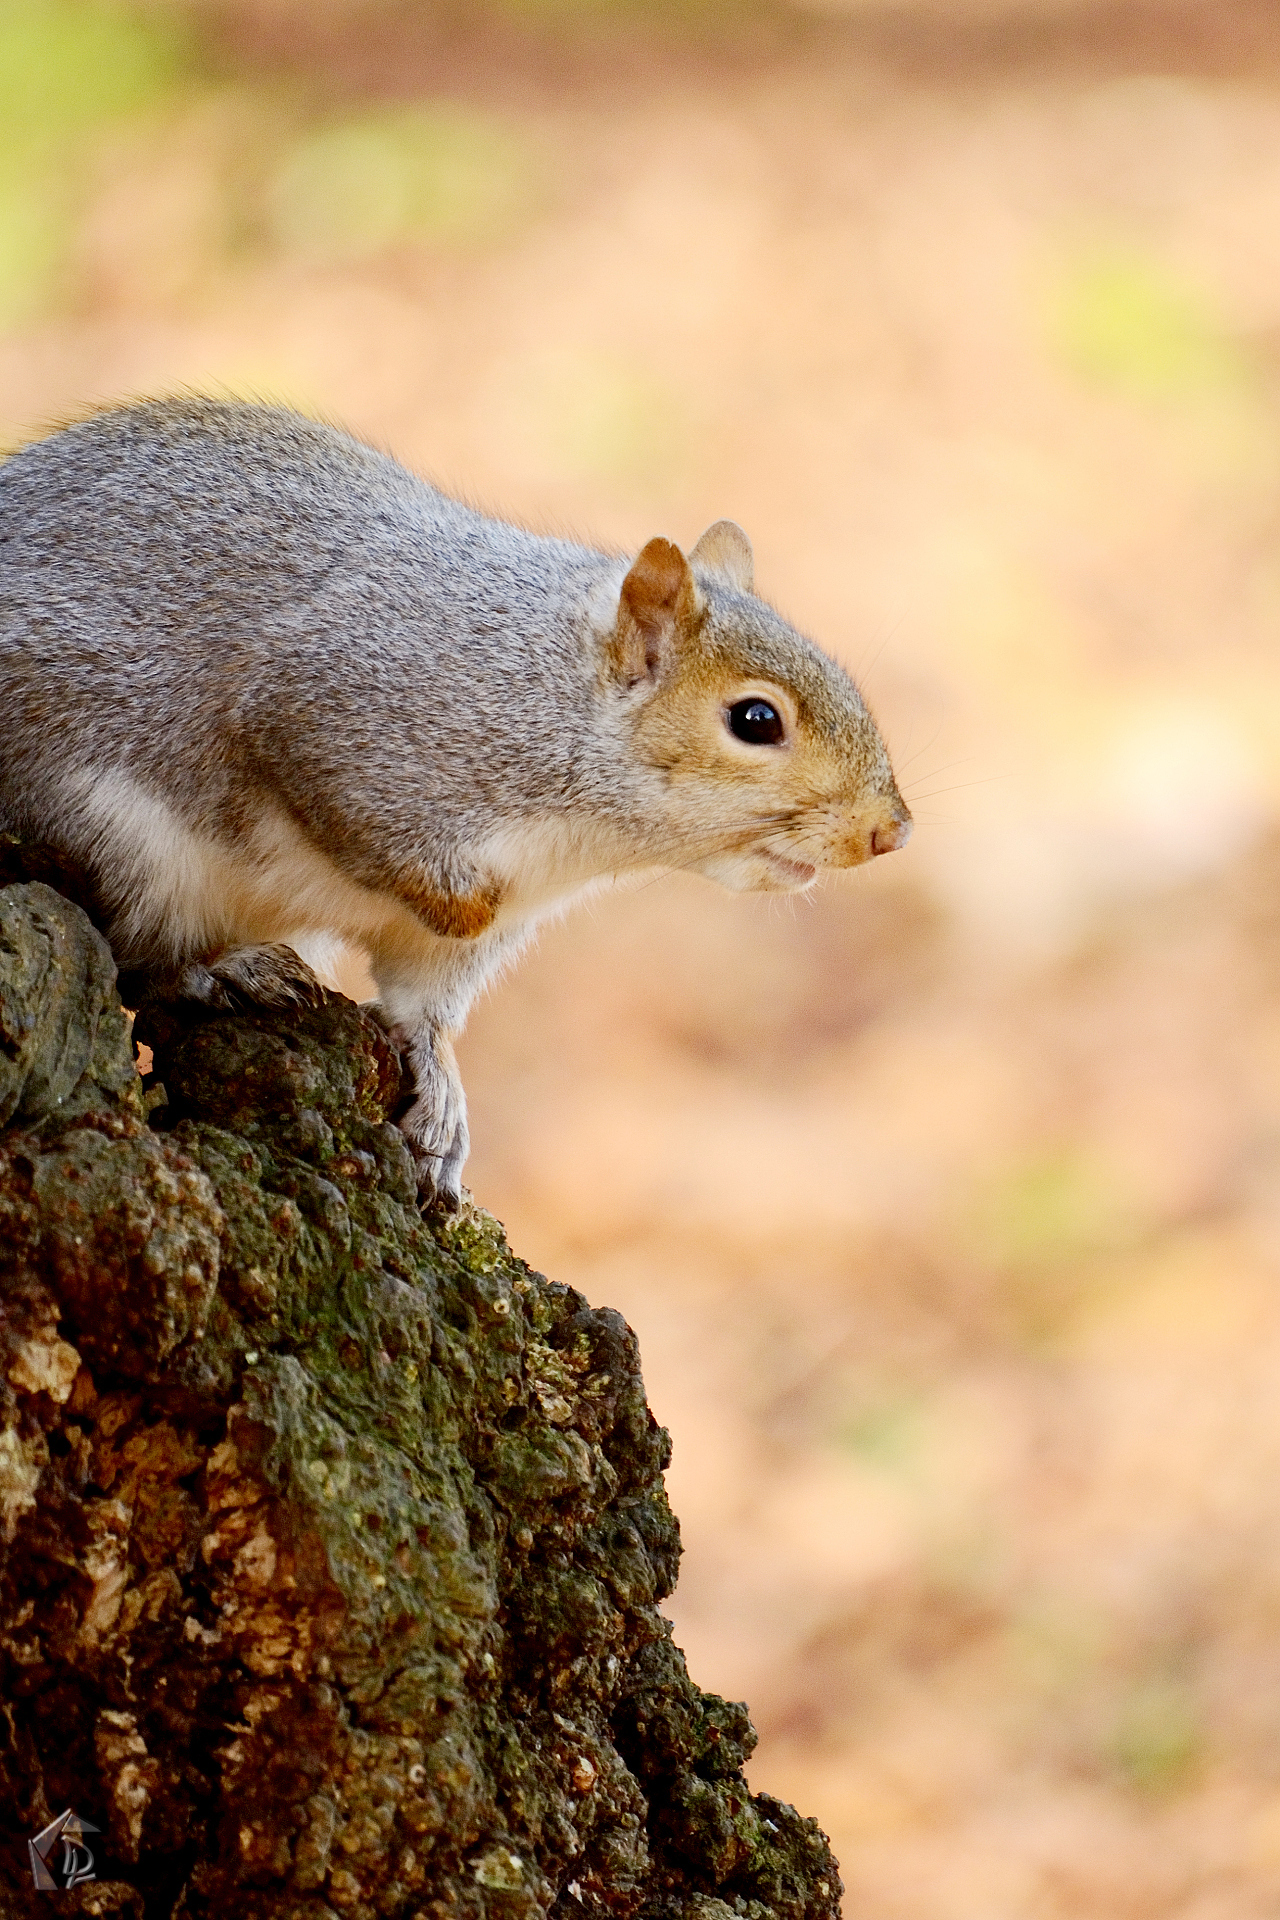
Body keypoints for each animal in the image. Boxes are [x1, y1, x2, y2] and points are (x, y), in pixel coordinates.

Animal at [0, 397, 911, 1206]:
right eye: (756, 720)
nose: (892, 834)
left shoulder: (449, 950)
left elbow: (422, 1010)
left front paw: (441, 1105)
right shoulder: (339, 714)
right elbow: (342, 805)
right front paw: (461, 904)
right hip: (107, 827)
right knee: (141, 953)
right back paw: (223, 968)